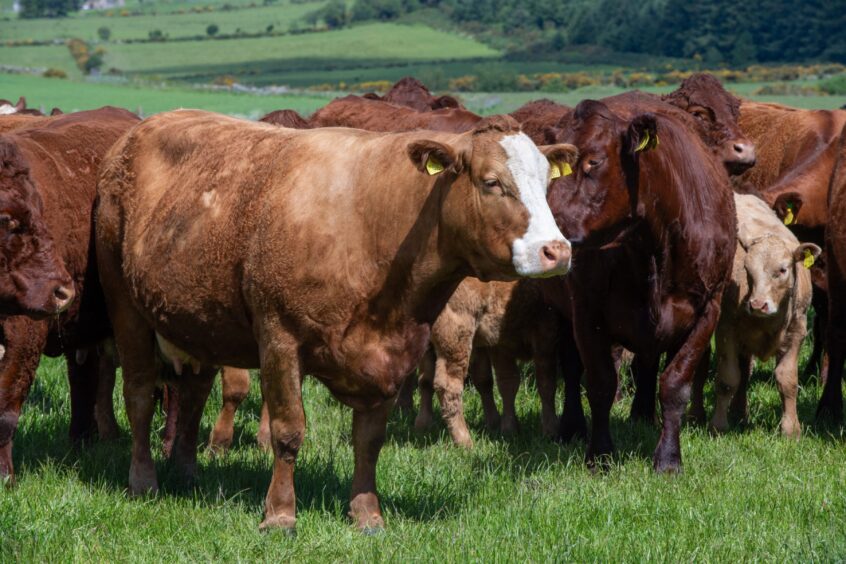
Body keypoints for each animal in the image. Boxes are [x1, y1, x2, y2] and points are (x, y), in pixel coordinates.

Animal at [0, 108, 139, 482]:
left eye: (39, 208)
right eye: (6, 219)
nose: (61, 290)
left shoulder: (23, 335)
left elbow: (5, 408)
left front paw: (4, 476)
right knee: (84, 378)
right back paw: (81, 441)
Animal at [97, 109, 576, 532]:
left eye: (545, 183)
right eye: (492, 182)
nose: (557, 250)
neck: (371, 227)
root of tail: (136, 132)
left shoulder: (394, 351)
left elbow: (369, 439)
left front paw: (367, 515)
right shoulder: (280, 339)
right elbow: (288, 432)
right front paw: (280, 516)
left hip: (200, 321)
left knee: (195, 393)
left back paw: (187, 470)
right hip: (125, 306)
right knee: (138, 394)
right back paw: (144, 481)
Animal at [544, 101, 736, 472]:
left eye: (594, 162)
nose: (550, 229)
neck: (651, 247)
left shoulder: (707, 311)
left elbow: (675, 384)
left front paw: (668, 458)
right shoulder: (586, 311)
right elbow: (600, 383)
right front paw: (600, 454)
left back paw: (644, 416)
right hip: (560, 313)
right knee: (572, 369)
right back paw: (571, 427)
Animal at [704, 194, 820, 436]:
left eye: (782, 270)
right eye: (748, 270)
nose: (758, 304)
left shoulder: (797, 331)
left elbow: (787, 380)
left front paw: (791, 430)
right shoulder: (726, 330)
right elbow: (727, 379)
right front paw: (718, 425)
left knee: (745, 370)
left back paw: (740, 414)